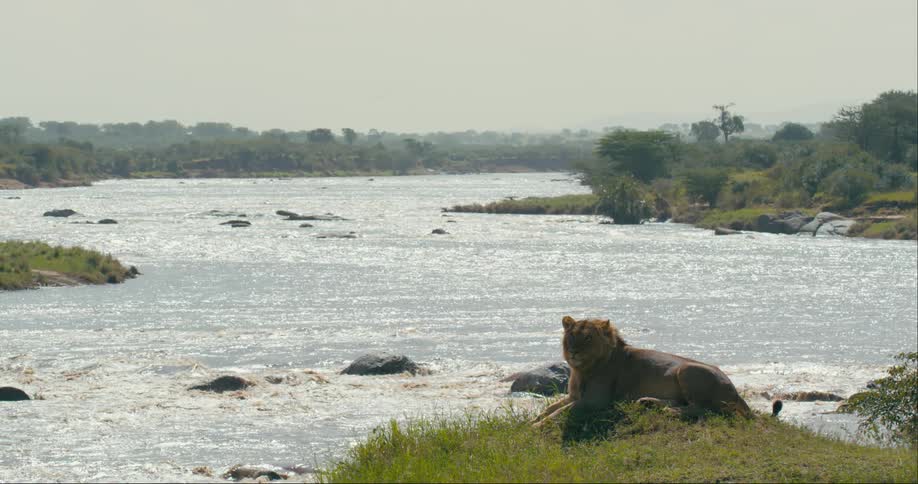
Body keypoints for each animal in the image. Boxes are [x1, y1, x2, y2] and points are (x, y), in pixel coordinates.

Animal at [532, 316, 754, 427]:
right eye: (572, 336)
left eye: (588, 338)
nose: (574, 351)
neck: (582, 369)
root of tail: (734, 390)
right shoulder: (573, 395)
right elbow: (550, 409)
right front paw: (534, 420)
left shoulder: (596, 401)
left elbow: (561, 411)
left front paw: (536, 426)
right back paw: (647, 402)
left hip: (686, 369)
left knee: (703, 409)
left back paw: (667, 410)